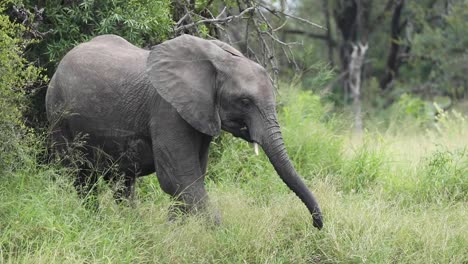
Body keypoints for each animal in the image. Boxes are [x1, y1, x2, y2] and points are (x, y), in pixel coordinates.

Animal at [47, 34, 324, 229]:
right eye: (245, 101)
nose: (317, 224)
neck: (218, 62)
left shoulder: (200, 114)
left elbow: (190, 179)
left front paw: (171, 230)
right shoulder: (168, 110)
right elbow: (179, 179)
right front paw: (221, 236)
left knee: (123, 182)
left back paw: (129, 223)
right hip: (58, 113)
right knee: (81, 174)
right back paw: (93, 220)